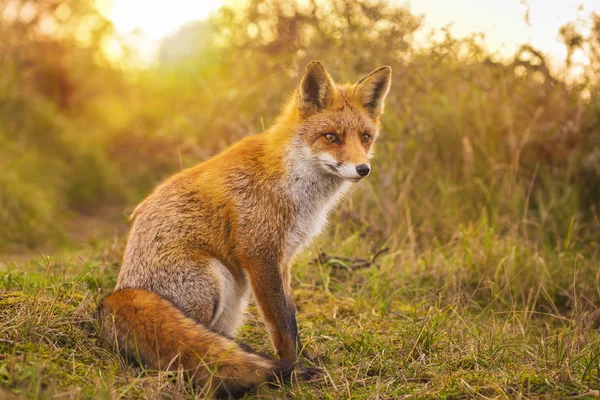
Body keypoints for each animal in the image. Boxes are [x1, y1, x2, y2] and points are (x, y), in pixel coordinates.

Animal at [98, 61, 392, 398]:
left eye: (366, 137)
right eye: (331, 136)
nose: (363, 169)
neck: (294, 183)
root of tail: (118, 293)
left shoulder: (283, 259)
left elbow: (291, 318)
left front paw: (302, 360)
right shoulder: (259, 254)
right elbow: (282, 326)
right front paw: (294, 370)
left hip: (234, 294)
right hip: (214, 280)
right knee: (189, 348)